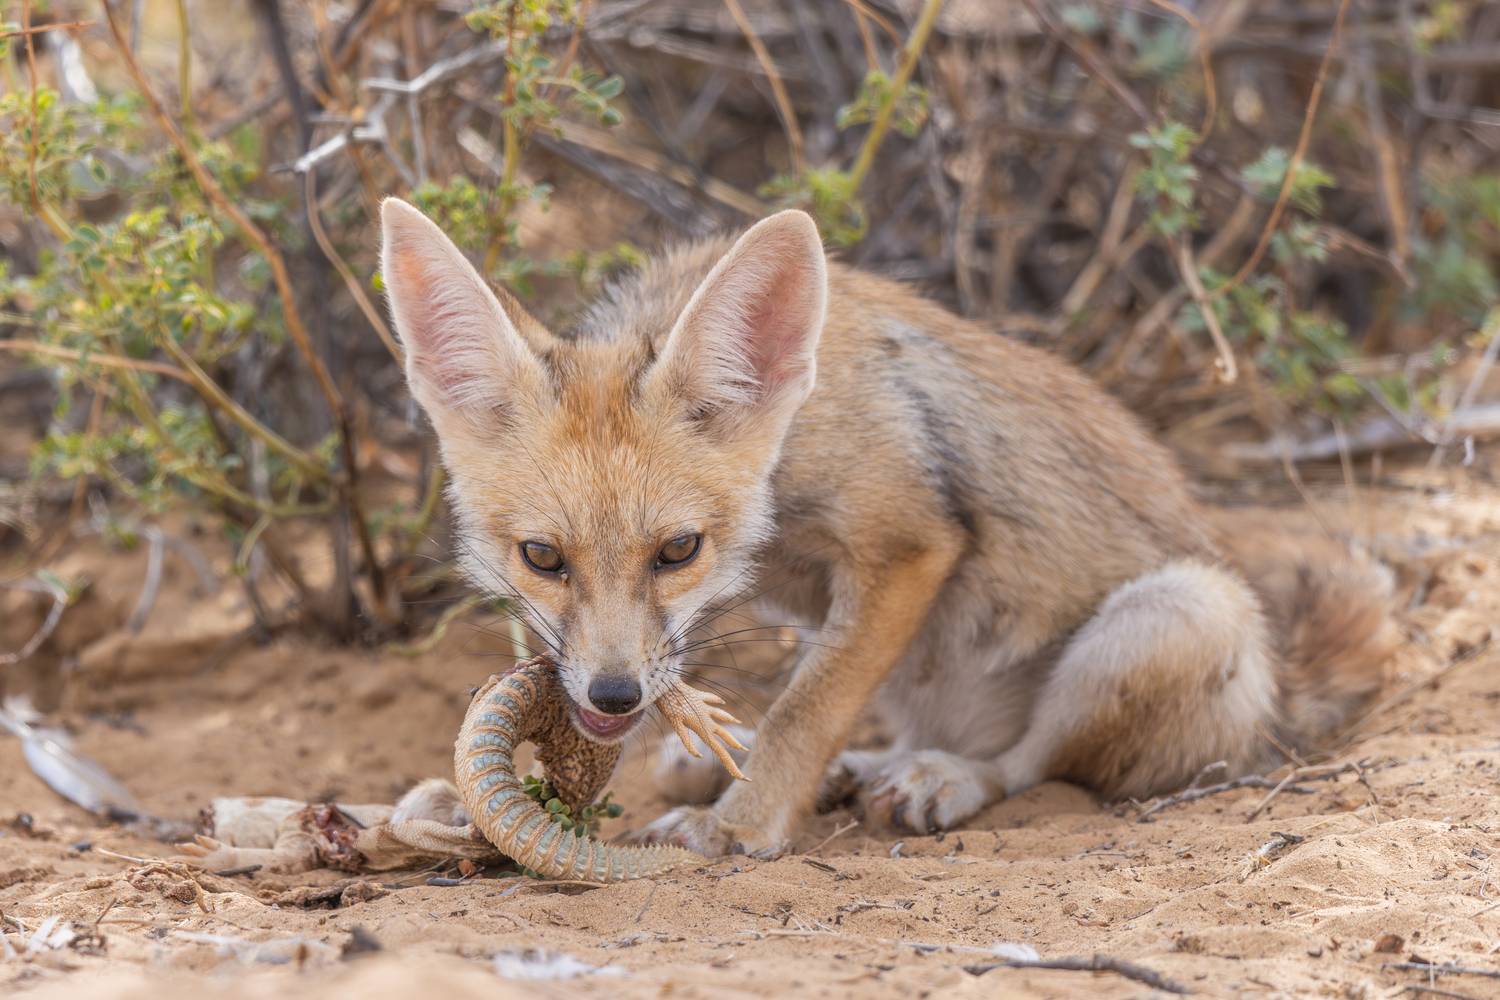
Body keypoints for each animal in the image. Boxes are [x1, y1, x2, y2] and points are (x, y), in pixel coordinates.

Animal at [379, 197, 1396, 855]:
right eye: (541, 557)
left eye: (678, 551)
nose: (614, 695)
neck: (794, 440)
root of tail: (1283, 697)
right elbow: (801, 697)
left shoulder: (907, 544)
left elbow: (806, 708)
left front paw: (739, 828)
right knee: (904, 737)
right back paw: (850, 767)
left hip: (1175, 614)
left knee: (1029, 763)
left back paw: (944, 779)